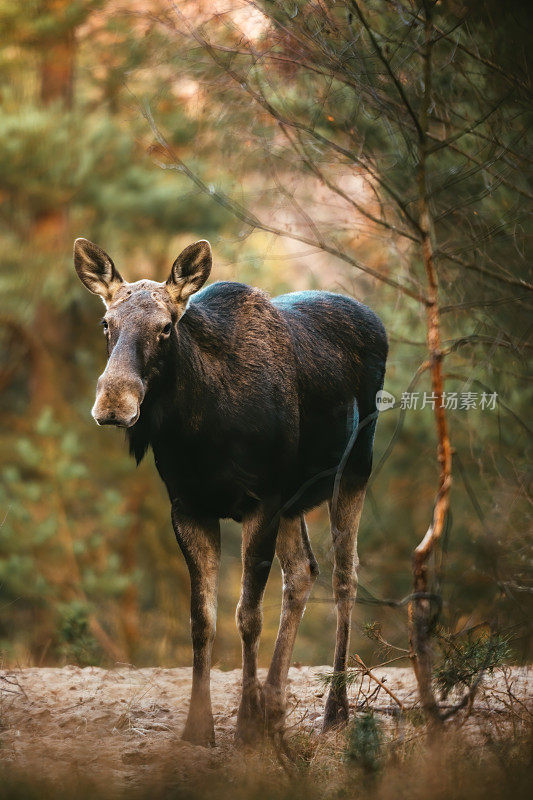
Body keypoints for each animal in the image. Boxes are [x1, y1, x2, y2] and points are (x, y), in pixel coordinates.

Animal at [74, 236, 386, 744]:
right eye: (106, 323)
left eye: (166, 328)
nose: (114, 403)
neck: (200, 433)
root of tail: (374, 319)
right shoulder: (189, 507)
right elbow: (202, 619)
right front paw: (199, 727)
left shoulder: (261, 502)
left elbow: (247, 616)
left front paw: (245, 728)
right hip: (294, 500)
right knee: (303, 571)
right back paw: (276, 704)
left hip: (355, 467)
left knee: (345, 576)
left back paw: (334, 710)